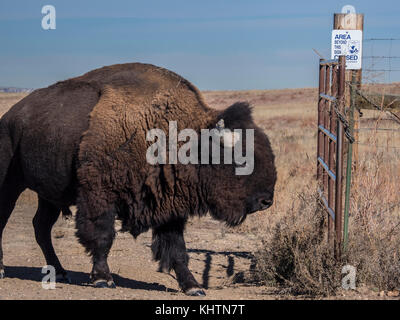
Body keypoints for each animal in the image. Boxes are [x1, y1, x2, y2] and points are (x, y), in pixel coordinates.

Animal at [0, 62, 276, 296]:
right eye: (240, 159)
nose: (266, 201)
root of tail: (9, 118)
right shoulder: (99, 196)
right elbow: (102, 237)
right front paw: (103, 279)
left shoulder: (169, 208)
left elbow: (177, 249)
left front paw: (193, 287)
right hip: (9, 186)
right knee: (8, 221)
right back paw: (4, 270)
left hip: (47, 196)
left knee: (41, 227)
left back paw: (60, 272)